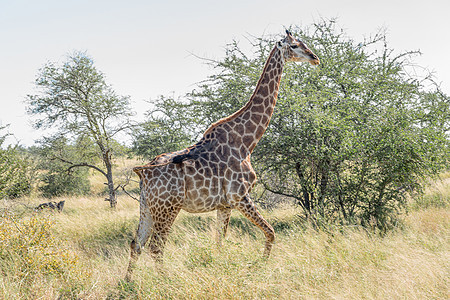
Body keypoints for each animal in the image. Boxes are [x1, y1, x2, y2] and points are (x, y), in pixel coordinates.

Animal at [125, 29, 318, 280]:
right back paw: (166, 280)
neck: (247, 141)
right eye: (294, 45)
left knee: (136, 244)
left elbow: (219, 241)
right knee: (156, 247)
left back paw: (126, 283)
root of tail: (142, 172)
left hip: (147, 208)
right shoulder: (239, 196)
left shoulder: (224, 205)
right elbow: (271, 232)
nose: (315, 58)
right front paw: (259, 266)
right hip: (168, 208)